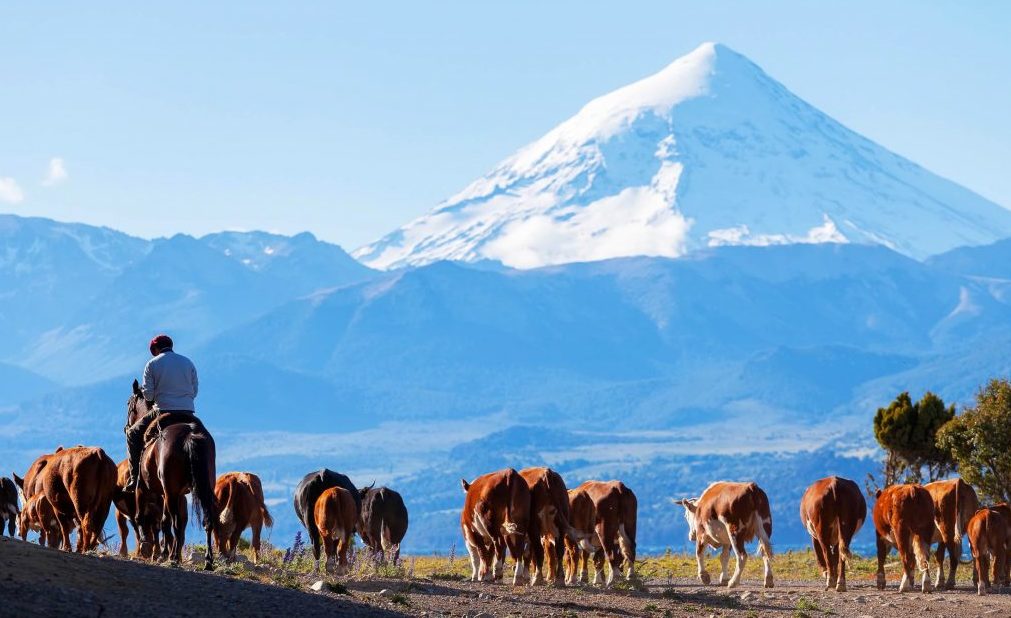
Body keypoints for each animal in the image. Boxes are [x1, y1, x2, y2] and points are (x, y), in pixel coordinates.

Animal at [128, 376, 217, 570]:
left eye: (129, 404)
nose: (127, 426)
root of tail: (190, 435)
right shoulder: (178, 494)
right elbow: (167, 521)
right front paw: (163, 552)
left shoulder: (144, 488)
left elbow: (144, 516)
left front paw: (151, 548)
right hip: (203, 488)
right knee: (206, 520)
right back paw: (207, 561)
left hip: (169, 491)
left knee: (174, 523)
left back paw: (174, 558)